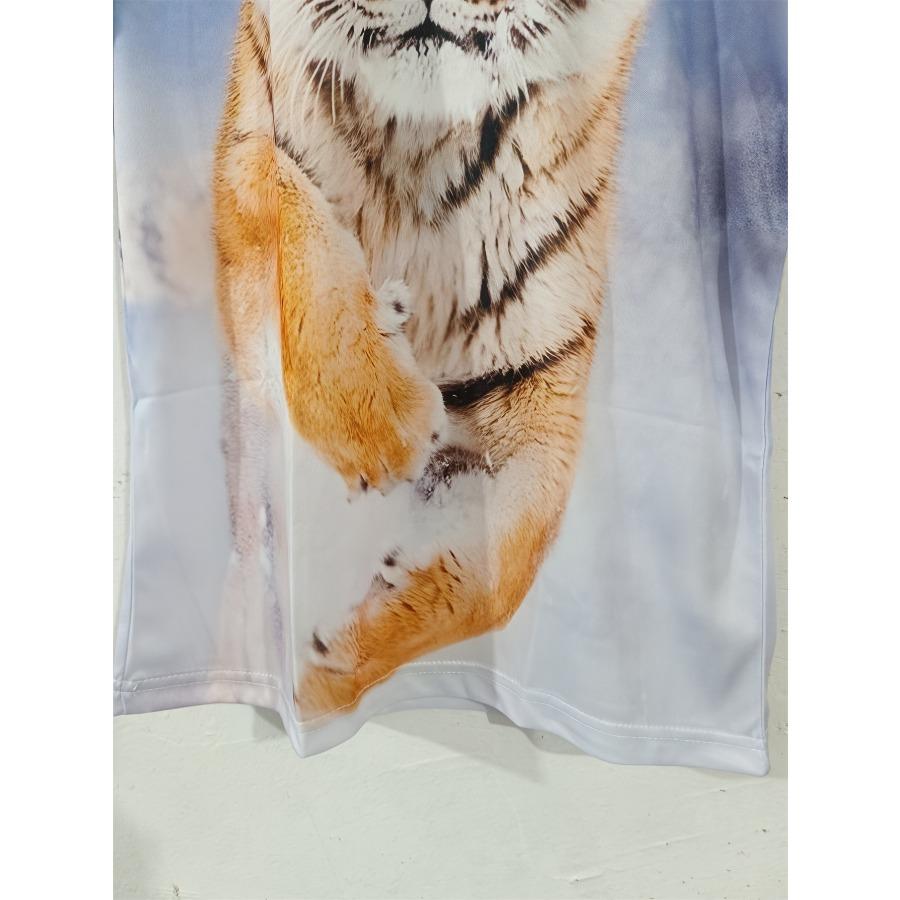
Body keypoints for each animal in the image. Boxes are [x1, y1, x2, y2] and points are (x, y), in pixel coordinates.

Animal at [213, 0, 648, 718]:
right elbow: (294, 232)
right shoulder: (248, 151)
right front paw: (384, 427)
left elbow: (508, 571)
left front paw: (338, 659)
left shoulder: (541, 394)